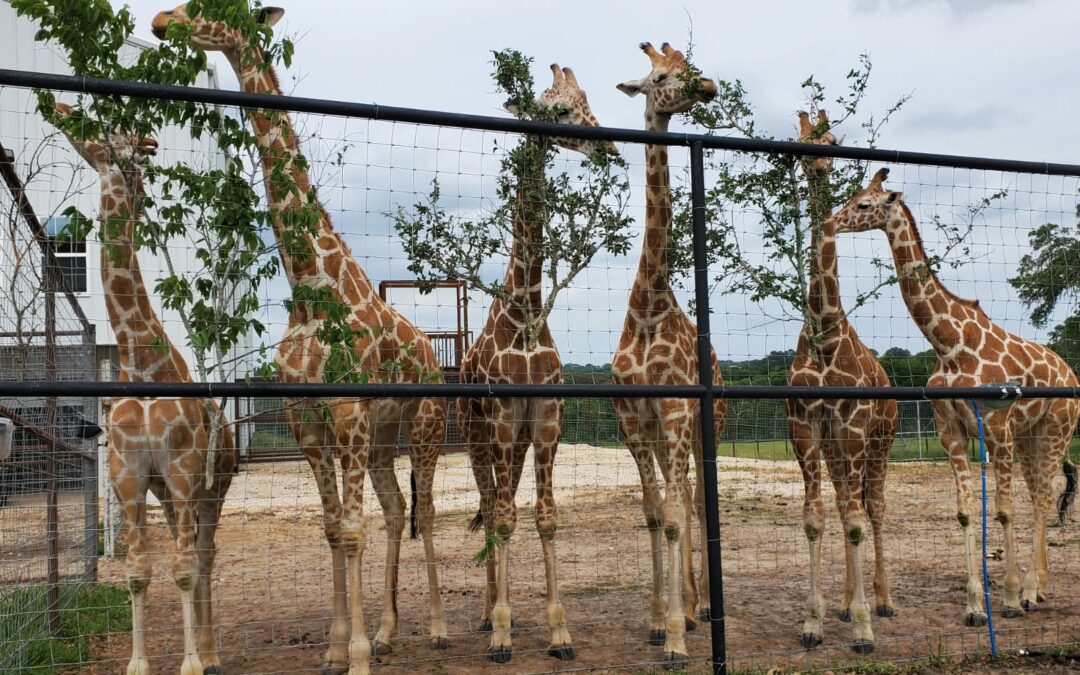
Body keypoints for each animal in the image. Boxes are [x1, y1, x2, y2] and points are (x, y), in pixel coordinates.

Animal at [52, 102, 236, 675]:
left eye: (103, 131)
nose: (59, 110)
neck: (141, 362)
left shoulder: (182, 468)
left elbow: (184, 569)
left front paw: (193, 662)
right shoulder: (129, 475)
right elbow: (138, 571)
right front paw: (140, 663)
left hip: (210, 487)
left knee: (204, 556)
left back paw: (213, 652)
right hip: (170, 493)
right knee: (187, 549)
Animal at [152, 6, 449, 674]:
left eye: (215, 5)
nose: (160, 19)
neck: (312, 286)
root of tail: (433, 354)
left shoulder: (347, 409)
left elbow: (352, 529)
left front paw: (357, 655)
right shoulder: (306, 416)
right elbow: (333, 527)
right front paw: (339, 647)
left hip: (423, 424)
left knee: (426, 509)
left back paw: (443, 628)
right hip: (381, 440)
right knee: (396, 508)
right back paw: (389, 632)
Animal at [458, 63, 616, 664]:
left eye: (590, 101)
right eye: (563, 109)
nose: (607, 145)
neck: (524, 310)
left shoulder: (545, 419)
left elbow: (544, 515)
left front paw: (558, 630)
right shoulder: (504, 420)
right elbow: (501, 516)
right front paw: (502, 633)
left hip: (518, 444)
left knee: (505, 506)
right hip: (477, 438)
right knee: (489, 506)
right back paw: (486, 616)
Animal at [833, 167, 1080, 625]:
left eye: (864, 203)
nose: (834, 221)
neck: (949, 343)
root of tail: (1069, 371)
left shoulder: (996, 426)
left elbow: (1003, 508)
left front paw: (1009, 598)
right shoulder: (950, 429)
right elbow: (966, 512)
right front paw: (974, 607)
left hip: (1057, 429)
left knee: (1041, 496)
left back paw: (1031, 592)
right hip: (1030, 435)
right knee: (1040, 492)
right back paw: (1041, 587)